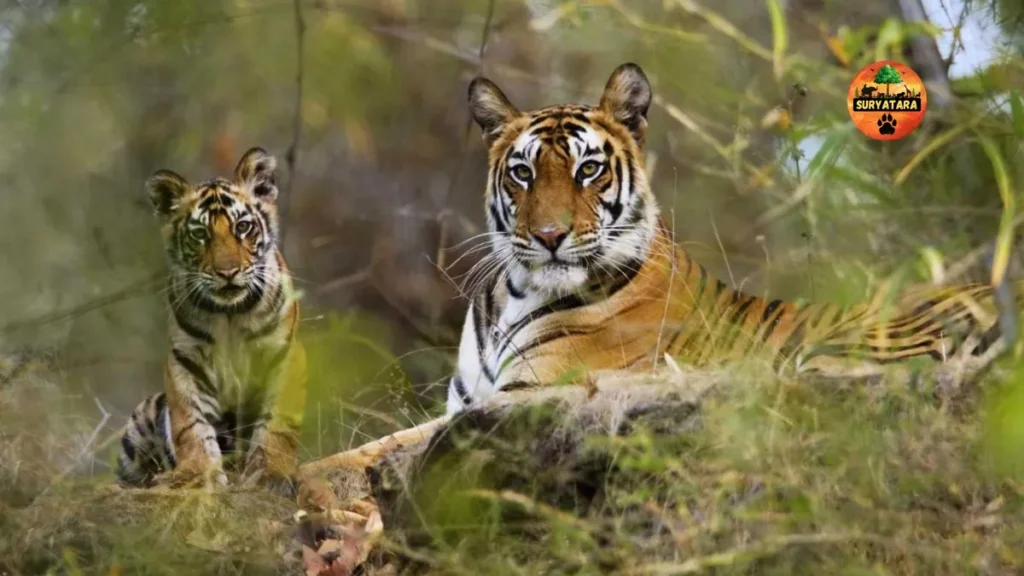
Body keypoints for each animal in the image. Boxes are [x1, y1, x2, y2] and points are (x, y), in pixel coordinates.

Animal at [116, 147, 307, 489]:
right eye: (200, 234)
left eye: (242, 227)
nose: (227, 272)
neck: (230, 313)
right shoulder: (185, 361)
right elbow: (191, 425)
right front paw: (197, 474)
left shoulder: (284, 355)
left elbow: (277, 425)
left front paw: (270, 473)